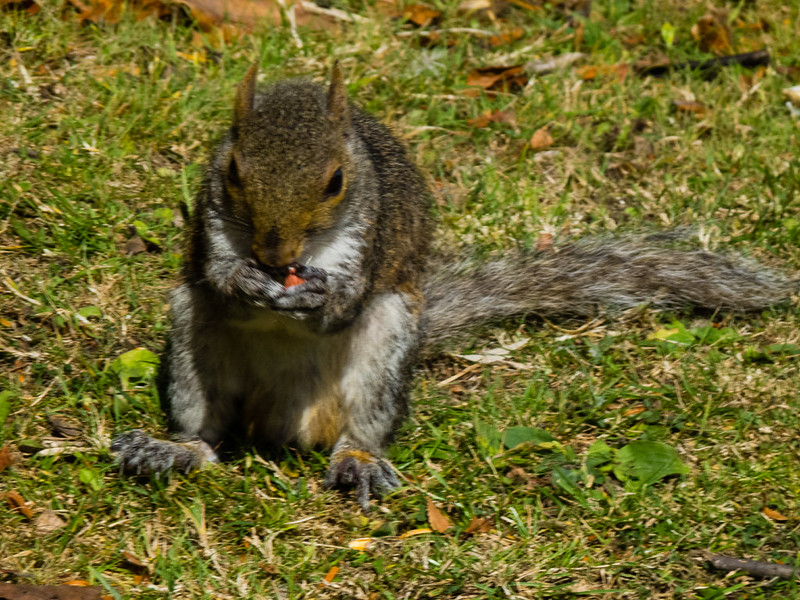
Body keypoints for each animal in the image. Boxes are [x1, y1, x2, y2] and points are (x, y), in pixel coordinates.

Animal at [111, 63, 796, 511]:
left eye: (336, 181)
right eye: (231, 170)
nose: (274, 255)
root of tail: (279, 424)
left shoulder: (372, 232)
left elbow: (345, 301)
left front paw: (321, 298)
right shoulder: (210, 224)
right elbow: (217, 277)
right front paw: (246, 281)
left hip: (388, 342)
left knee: (359, 428)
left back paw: (358, 464)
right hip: (192, 331)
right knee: (209, 429)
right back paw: (176, 450)